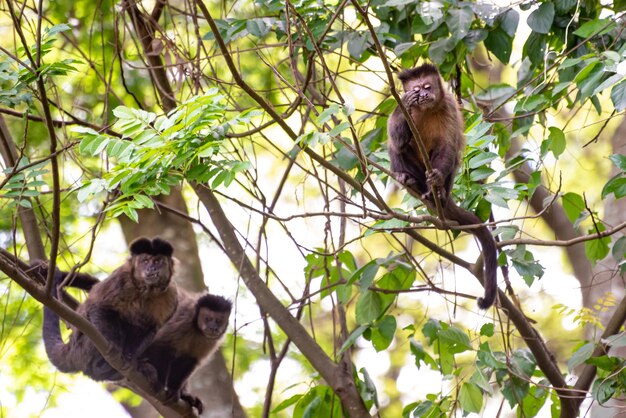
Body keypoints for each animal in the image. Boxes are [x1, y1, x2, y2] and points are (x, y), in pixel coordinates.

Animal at [40, 237, 178, 380]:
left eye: (157, 261)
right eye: (145, 261)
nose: (151, 268)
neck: (147, 291)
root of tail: (71, 349)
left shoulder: (171, 295)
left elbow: (152, 328)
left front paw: (131, 357)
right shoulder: (121, 279)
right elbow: (98, 306)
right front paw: (115, 348)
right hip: (84, 348)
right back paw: (101, 367)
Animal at [386, 63, 498, 308]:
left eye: (428, 87)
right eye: (416, 89)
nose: (423, 94)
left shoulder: (448, 106)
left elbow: (448, 145)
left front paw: (436, 178)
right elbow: (397, 139)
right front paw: (405, 104)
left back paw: (437, 191)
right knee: (397, 147)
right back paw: (408, 180)